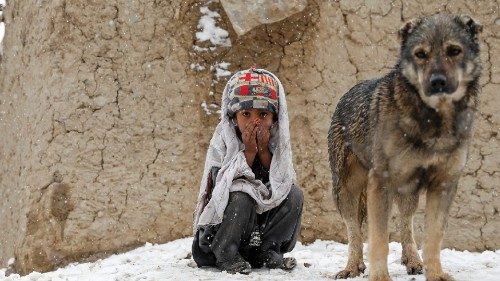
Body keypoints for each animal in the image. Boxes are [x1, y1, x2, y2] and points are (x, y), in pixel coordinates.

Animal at [326, 13, 482, 280]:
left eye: (454, 51)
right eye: (421, 54)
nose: (437, 82)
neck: (433, 121)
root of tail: (347, 93)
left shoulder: (444, 184)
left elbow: (433, 238)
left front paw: (436, 274)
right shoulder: (380, 182)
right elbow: (378, 240)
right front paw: (379, 277)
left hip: (408, 189)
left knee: (405, 223)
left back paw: (412, 260)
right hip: (346, 189)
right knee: (354, 231)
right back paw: (352, 267)